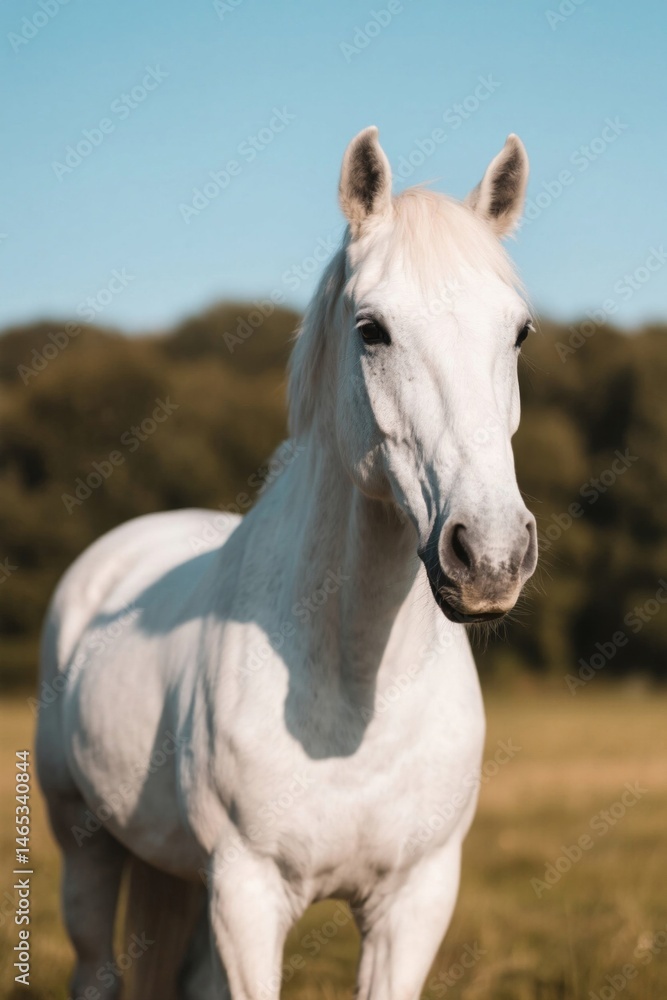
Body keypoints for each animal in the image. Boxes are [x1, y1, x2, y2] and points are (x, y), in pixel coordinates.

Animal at [37, 125, 537, 1000]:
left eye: (517, 333)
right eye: (371, 329)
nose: (490, 555)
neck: (356, 688)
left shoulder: (414, 901)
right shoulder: (247, 895)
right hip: (86, 847)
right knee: (96, 970)